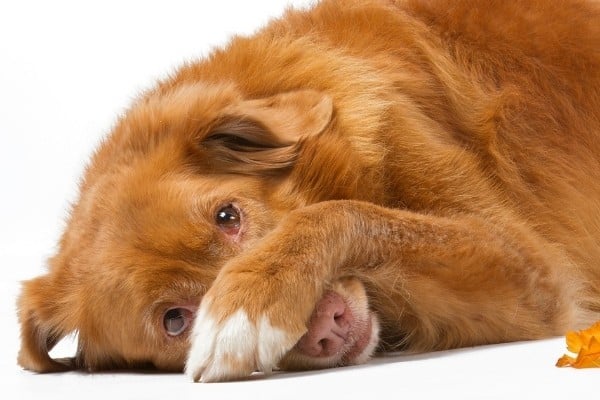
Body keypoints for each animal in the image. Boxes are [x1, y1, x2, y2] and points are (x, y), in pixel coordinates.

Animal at [17, 0, 600, 382]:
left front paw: (249, 305)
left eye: (228, 216)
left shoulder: (535, 270)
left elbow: (341, 212)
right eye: (174, 321)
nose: (328, 326)